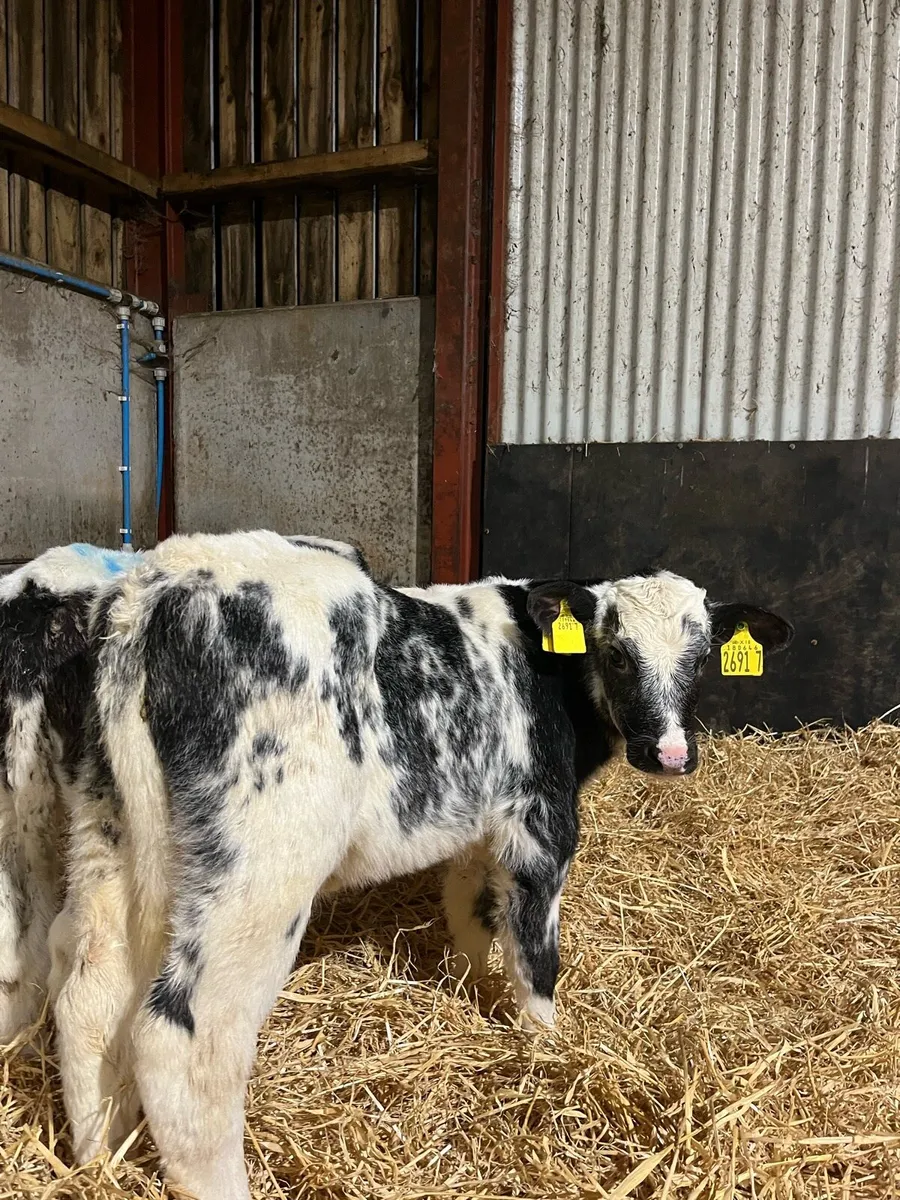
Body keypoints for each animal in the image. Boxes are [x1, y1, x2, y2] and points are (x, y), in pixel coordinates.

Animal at [49, 530, 792, 1200]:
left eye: (701, 657)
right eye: (615, 653)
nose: (669, 753)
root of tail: (161, 584)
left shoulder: (475, 825)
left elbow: (472, 915)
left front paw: (474, 994)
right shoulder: (539, 821)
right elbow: (535, 953)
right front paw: (548, 1050)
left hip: (106, 834)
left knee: (90, 1000)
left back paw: (99, 1162)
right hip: (259, 868)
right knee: (185, 1036)